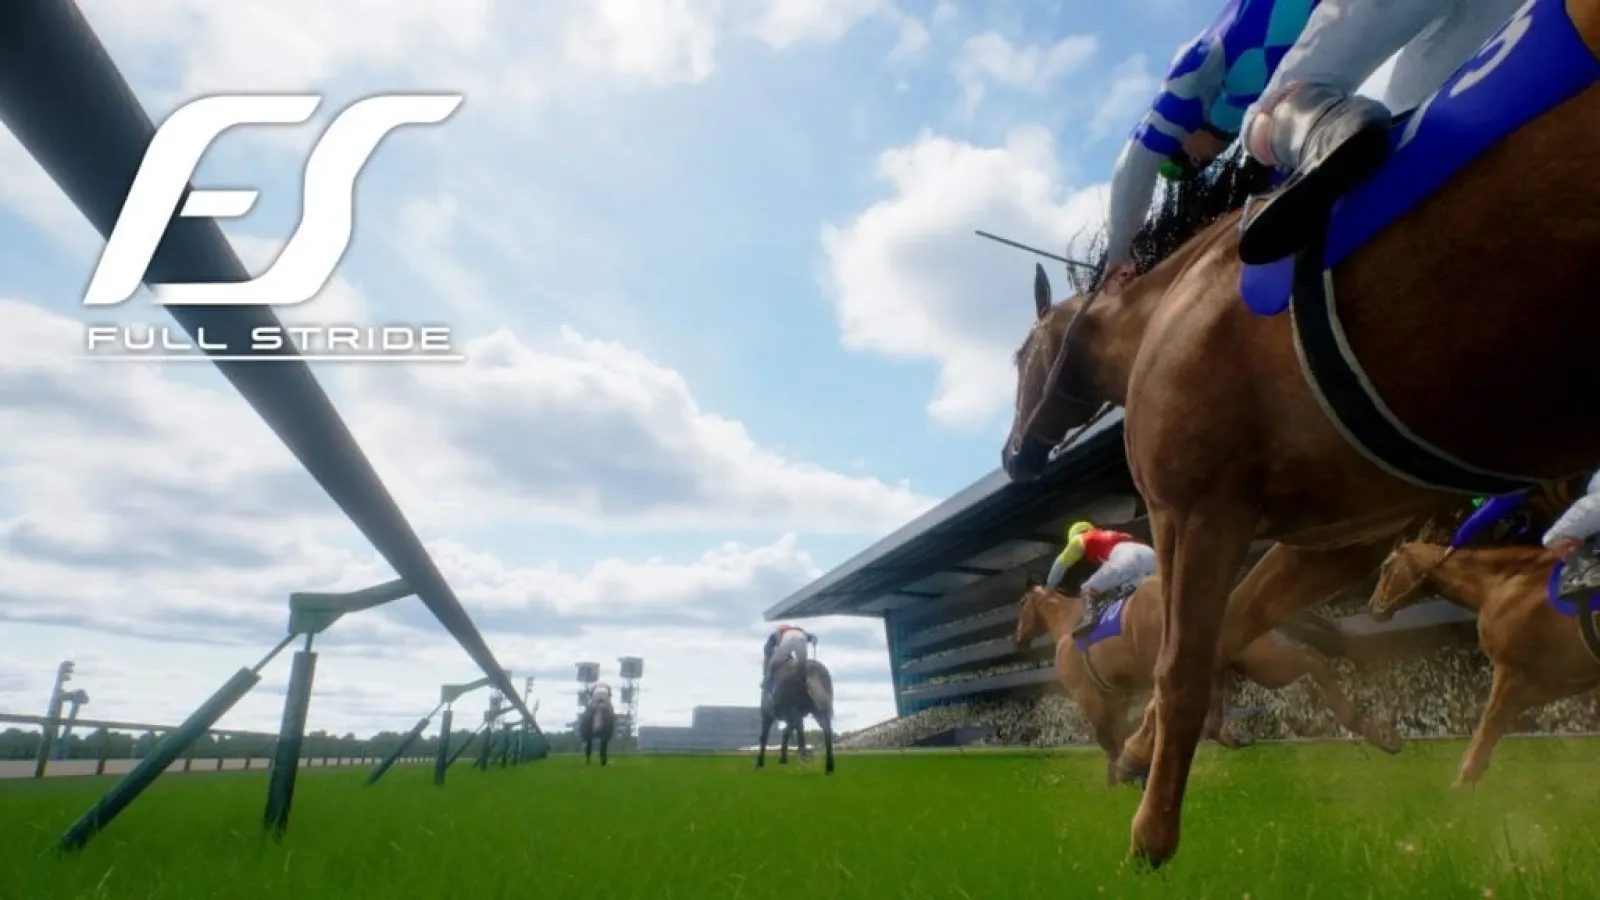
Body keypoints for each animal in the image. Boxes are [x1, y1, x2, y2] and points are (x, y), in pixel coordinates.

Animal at [1016, 580, 1400, 784]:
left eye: (1021, 605)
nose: (1017, 639)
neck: (1068, 625)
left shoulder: (1091, 697)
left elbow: (1109, 740)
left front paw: (1122, 776)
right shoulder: (1116, 698)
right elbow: (1119, 736)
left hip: (1255, 662)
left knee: (1310, 657)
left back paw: (1371, 730)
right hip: (1247, 658)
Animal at [1369, 541, 1600, 787]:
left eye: (1385, 567)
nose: (1372, 606)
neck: (1500, 584)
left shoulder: (1511, 672)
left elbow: (1489, 723)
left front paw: (1463, 781)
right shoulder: (1563, 679)